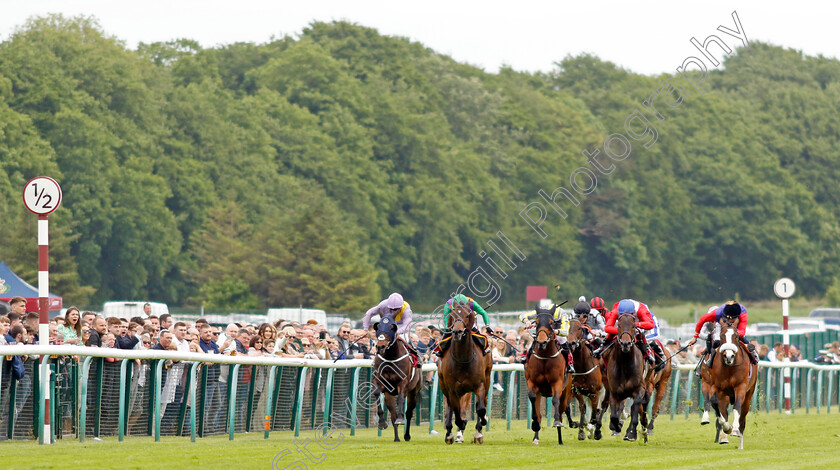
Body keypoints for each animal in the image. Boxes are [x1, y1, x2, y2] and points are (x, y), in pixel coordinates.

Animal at [434, 302, 492, 444]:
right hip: (444, 385)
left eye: (467, 315)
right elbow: (457, 412)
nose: (457, 332)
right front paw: (459, 426)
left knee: (481, 403)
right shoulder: (452, 389)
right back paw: (449, 433)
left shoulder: (479, 385)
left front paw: (481, 427)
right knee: (450, 407)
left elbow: (480, 409)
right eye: (452, 315)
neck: (463, 359)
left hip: (487, 379)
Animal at [520, 304, 576, 444]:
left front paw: (556, 422)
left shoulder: (557, 383)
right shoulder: (532, 383)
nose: (541, 342)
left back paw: (560, 438)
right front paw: (535, 425)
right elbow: (533, 400)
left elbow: (555, 400)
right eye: (536, 322)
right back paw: (536, 438)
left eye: (551, 323)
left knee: (562, 410)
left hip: (566, 390)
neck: (545, 357)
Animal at [604, 312, 648, 440]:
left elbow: (634, 408)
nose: (625, 344)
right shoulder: (614, 392)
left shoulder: (640, 388)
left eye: (633, 326)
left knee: (639, 410)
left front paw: (631, 432)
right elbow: (614, 415)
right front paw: (617, 426)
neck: (625, 363)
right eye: (618, 326)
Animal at [704, 318, 756, 450]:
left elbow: (737, 406)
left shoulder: (741, 387)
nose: (729, 356)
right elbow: (717, 407)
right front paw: (727, 428)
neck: (730, 368)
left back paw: (740, 443)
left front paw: (735, 430)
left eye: (736, 336)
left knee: (743, 418)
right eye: (722, 336)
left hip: (749, 394)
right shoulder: (718, 388)